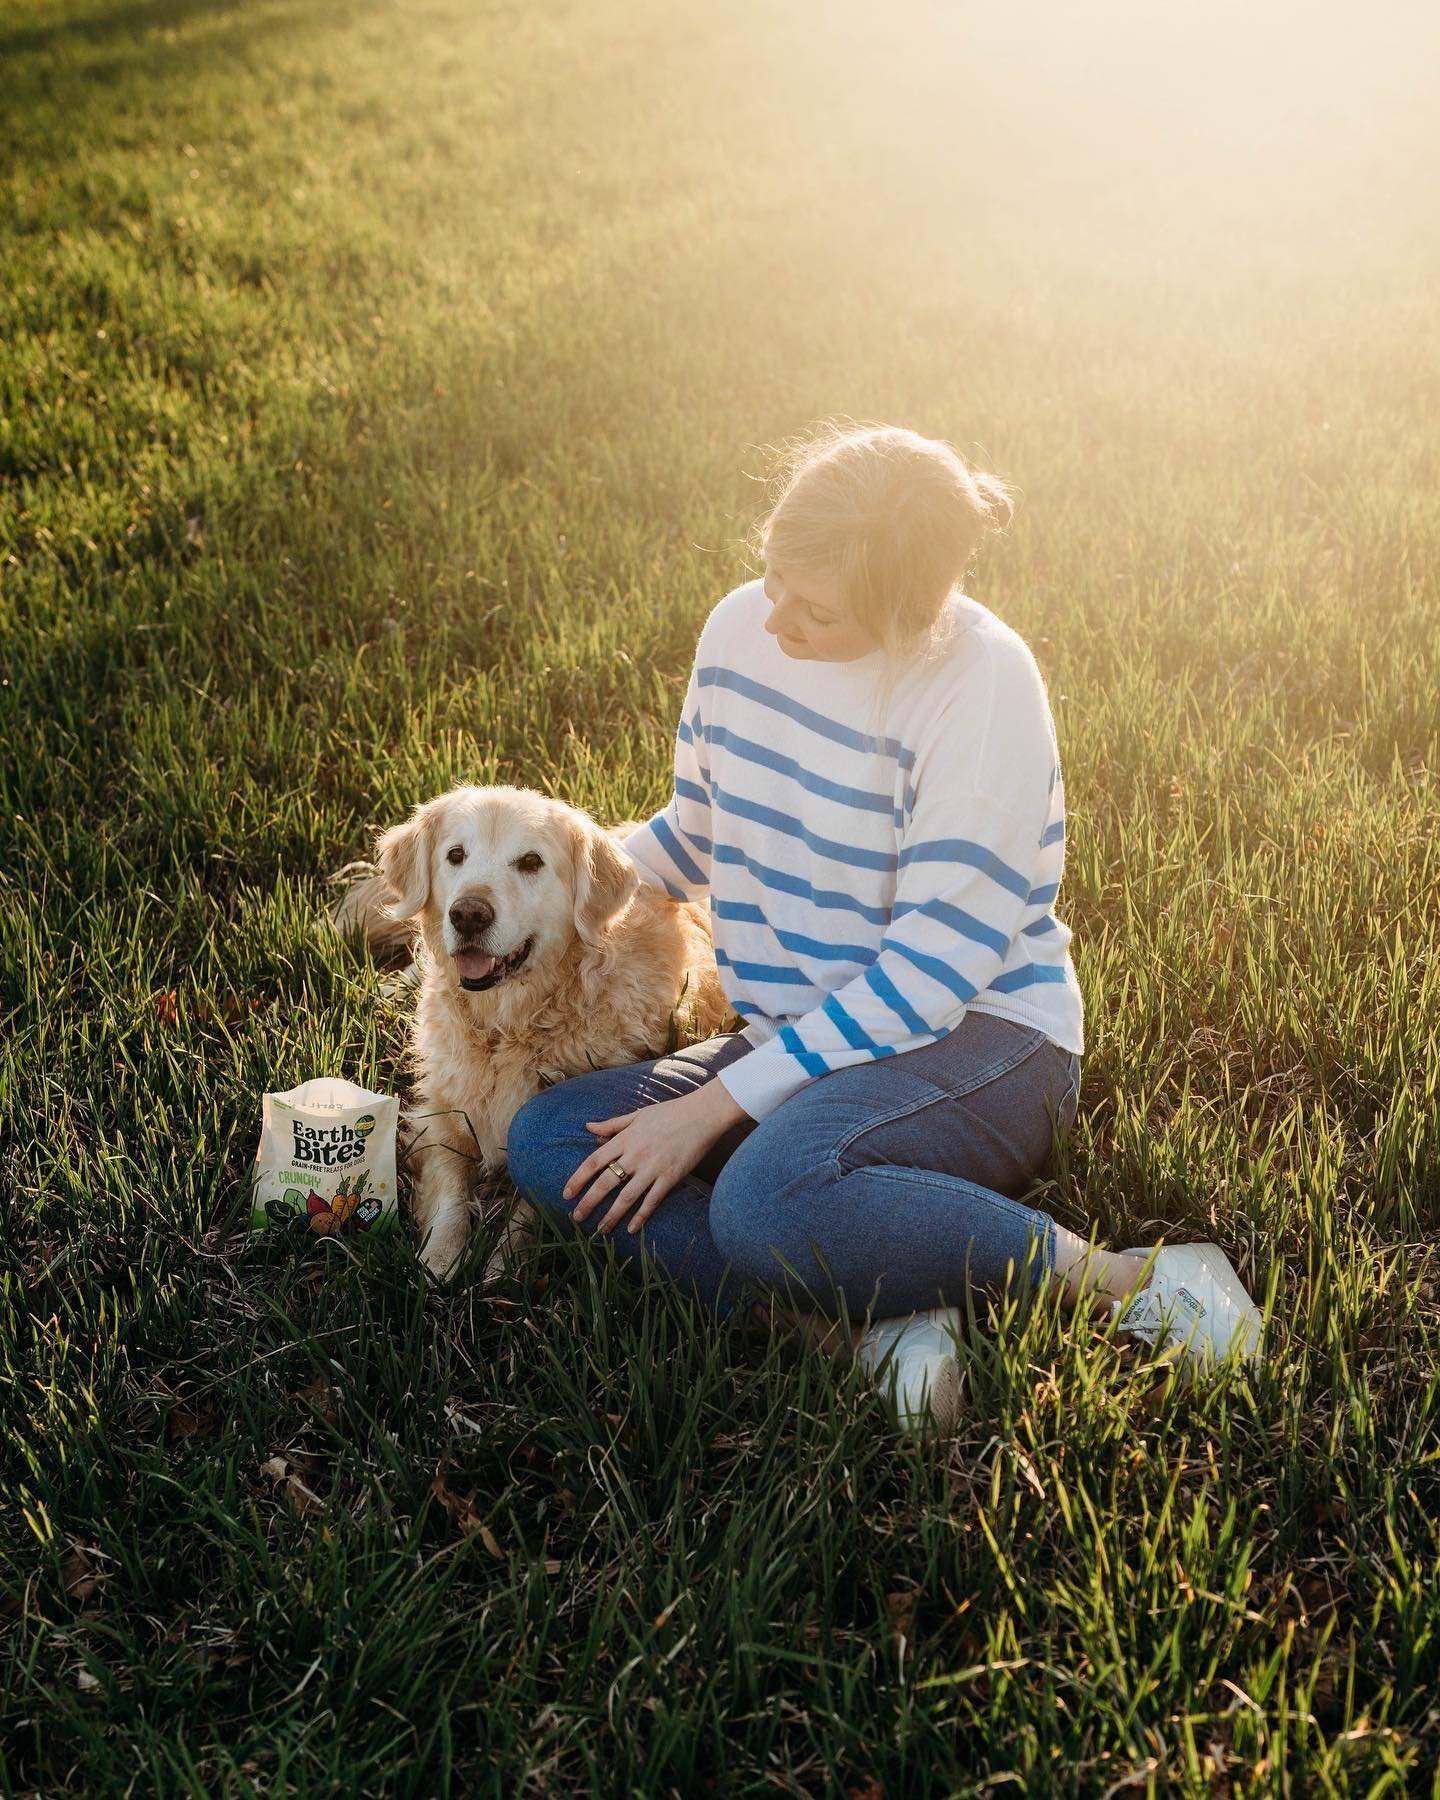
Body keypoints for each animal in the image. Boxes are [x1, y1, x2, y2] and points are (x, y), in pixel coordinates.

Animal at [331, 788, 727, 1281]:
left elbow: (532, 1206)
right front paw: (439, 1258)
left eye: (531, 862)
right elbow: (449, 1191)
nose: (468, 915)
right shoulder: (441, 1114)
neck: (510, 1023)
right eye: (456, 855)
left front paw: (502, 1265)